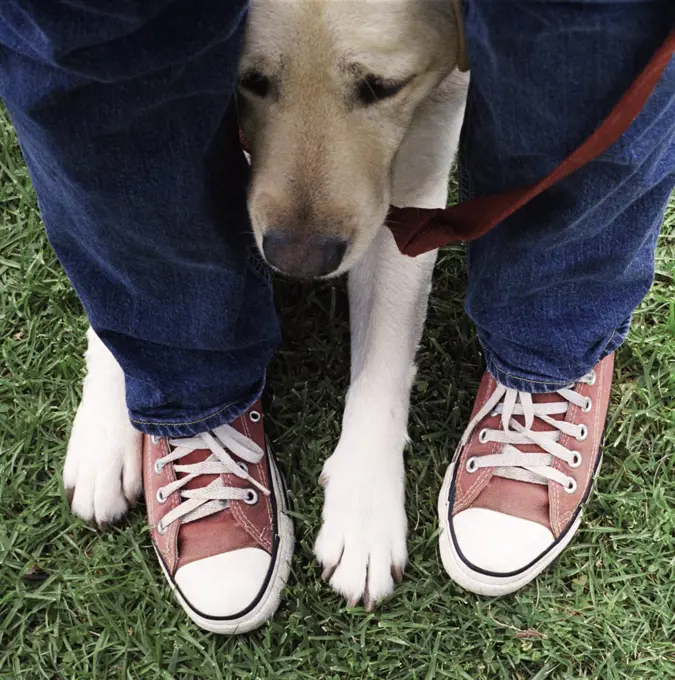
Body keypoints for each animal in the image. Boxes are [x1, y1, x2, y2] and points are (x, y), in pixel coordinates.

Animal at [63, 0, 470, 608]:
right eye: (249, 80)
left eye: (382, 87)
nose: (298, 261)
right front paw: (105, 433)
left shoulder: (415, 186)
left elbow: (383, 365)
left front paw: (364, 511)